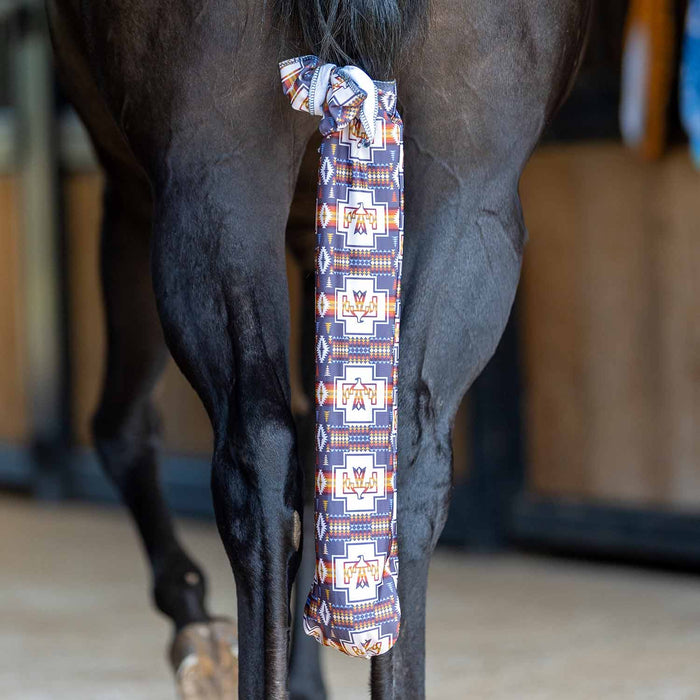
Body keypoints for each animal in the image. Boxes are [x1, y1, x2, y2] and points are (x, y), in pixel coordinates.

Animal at [45, 0, 591, 697]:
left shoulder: (132, 190)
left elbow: (125, 429)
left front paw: (196, 625)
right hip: (469, 193)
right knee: (399, 463)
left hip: (213, 181)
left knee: (253, 455)